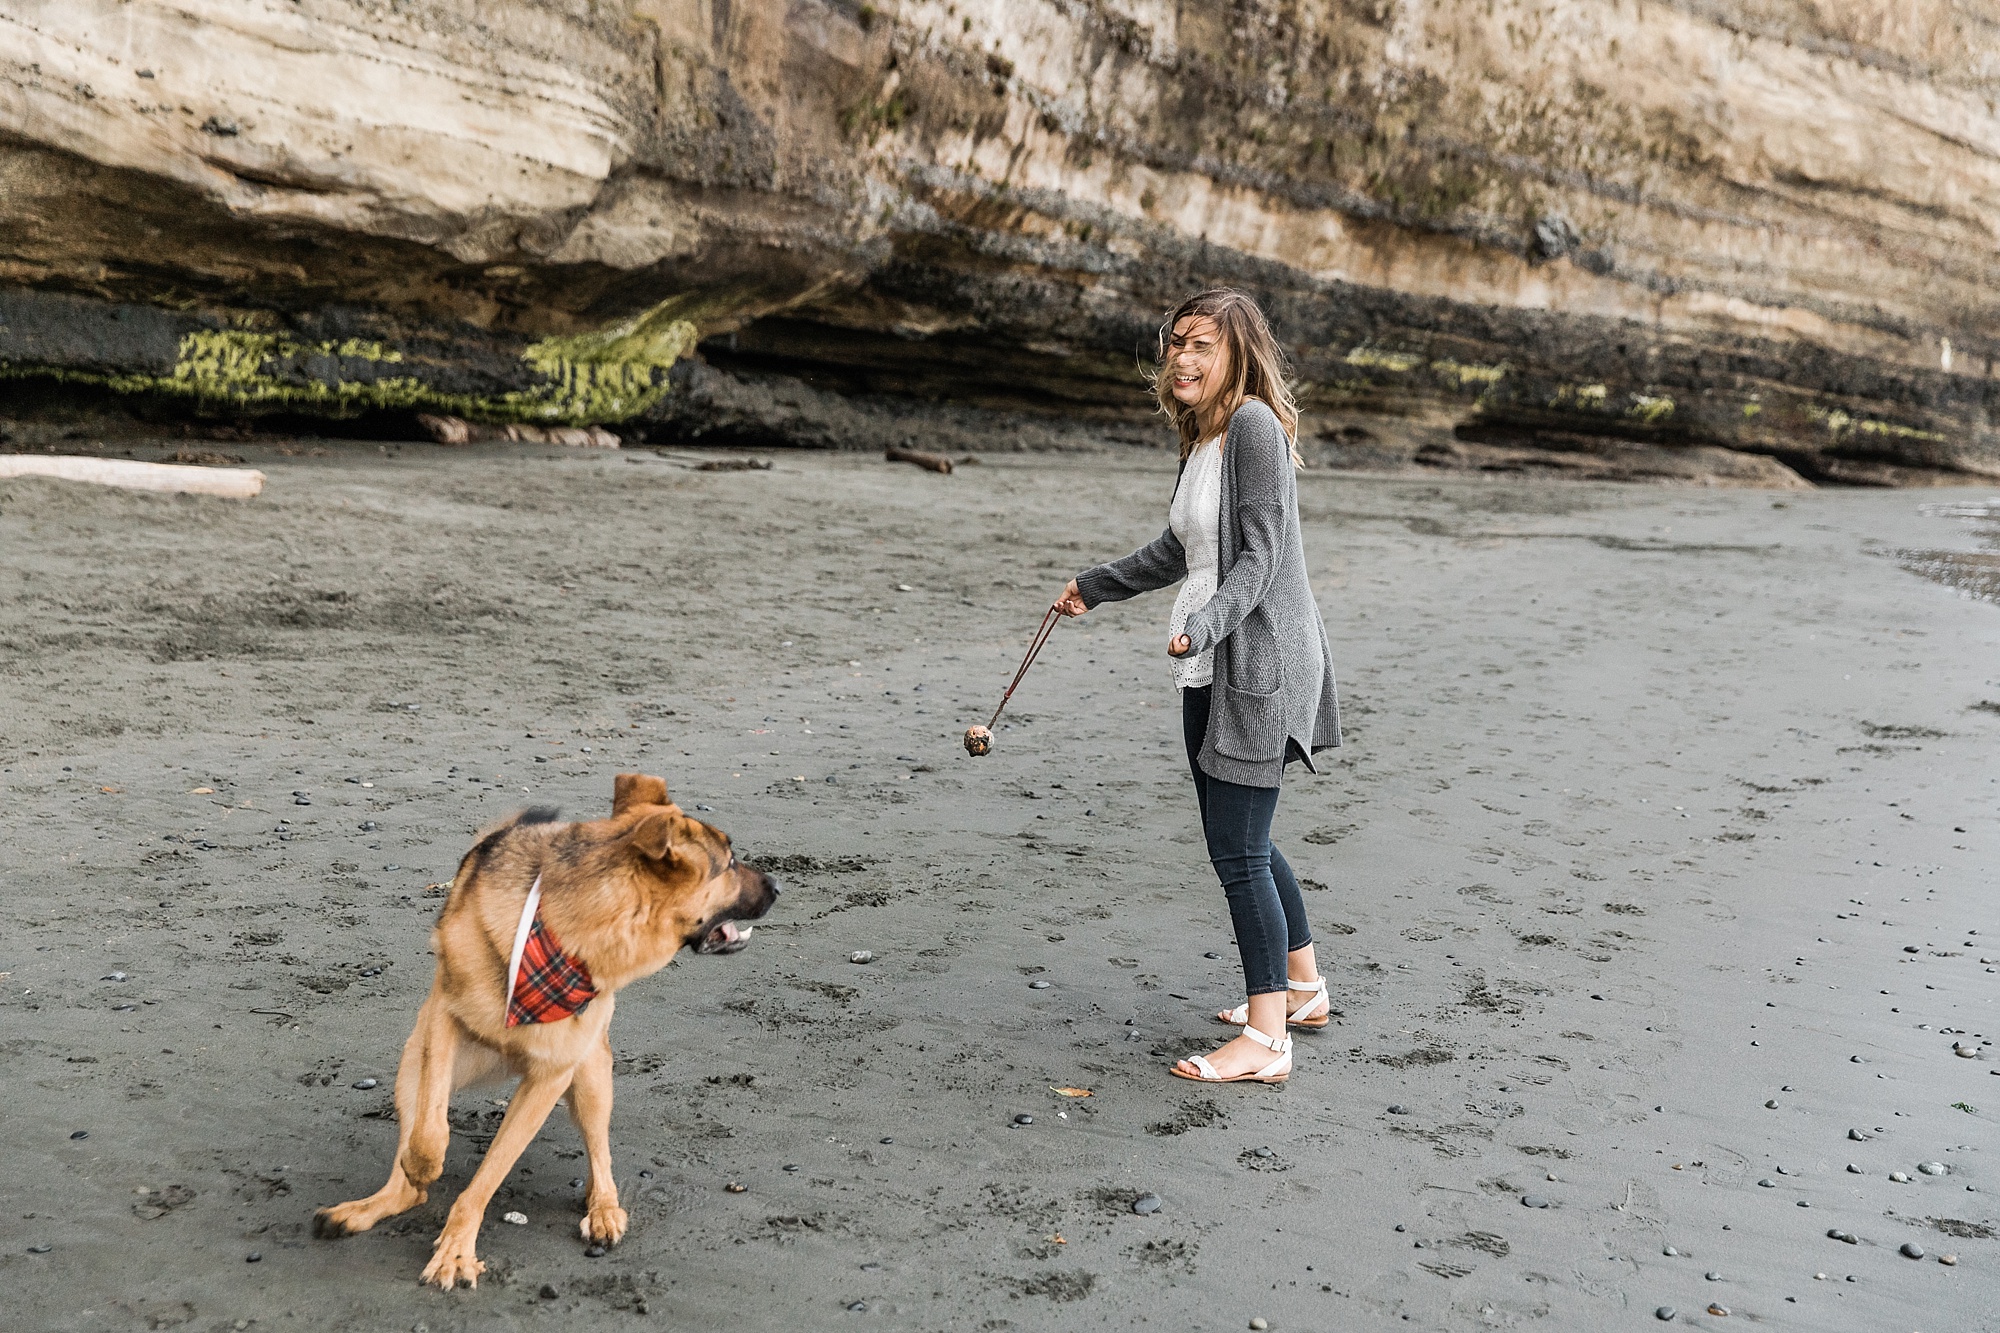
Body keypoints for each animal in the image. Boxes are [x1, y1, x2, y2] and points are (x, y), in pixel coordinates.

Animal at [316, 772, 776, 1280]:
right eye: (730, 862)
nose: (777, 883)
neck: (572, 930)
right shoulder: (443, 1019)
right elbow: (430, 1129)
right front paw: (423, 1165)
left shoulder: (549, 1079)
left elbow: (491, 1173)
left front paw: (456, 1247)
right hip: (411, 1064)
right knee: (410, 1180)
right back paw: (374, 1202)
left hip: (591, 1078)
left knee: (600, 1154)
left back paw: (603, 1208)